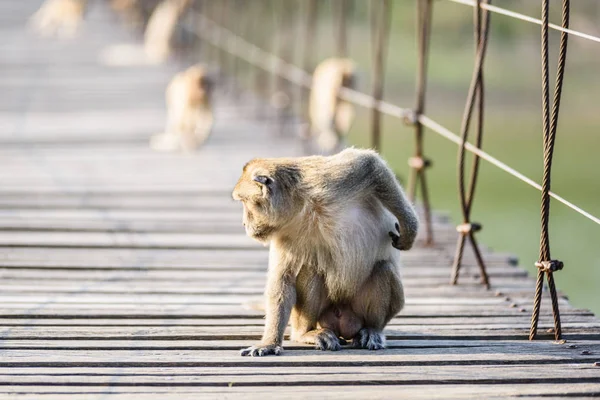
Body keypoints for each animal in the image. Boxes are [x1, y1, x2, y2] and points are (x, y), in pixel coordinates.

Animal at [230, 148, 418, 356]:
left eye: (244, 202)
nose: (244, 224)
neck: (303, 207)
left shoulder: (329, 179)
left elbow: (370, 165)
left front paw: (410, 227)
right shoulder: (283, 233)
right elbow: (284, 279)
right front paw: (269, 343)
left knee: (383, 269)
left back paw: (371, 330)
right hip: (322, 317)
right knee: (310, 270)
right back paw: (305, 333)